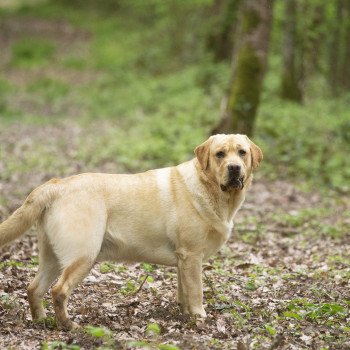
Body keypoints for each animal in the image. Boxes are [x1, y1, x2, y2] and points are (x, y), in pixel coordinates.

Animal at [0, 133, 262, 330]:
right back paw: (69, 326)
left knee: (34, 288)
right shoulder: (192, 255)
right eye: (220, 154)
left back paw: (42, 322)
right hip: (83, 255)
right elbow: (196, 291)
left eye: (242, 152)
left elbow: (184, 292)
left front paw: (185, 315)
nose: (235, 168)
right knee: (58, 290)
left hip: (52, 257)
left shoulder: (184, 259)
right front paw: (199, 318)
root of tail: (55, 185)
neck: (211, 189)